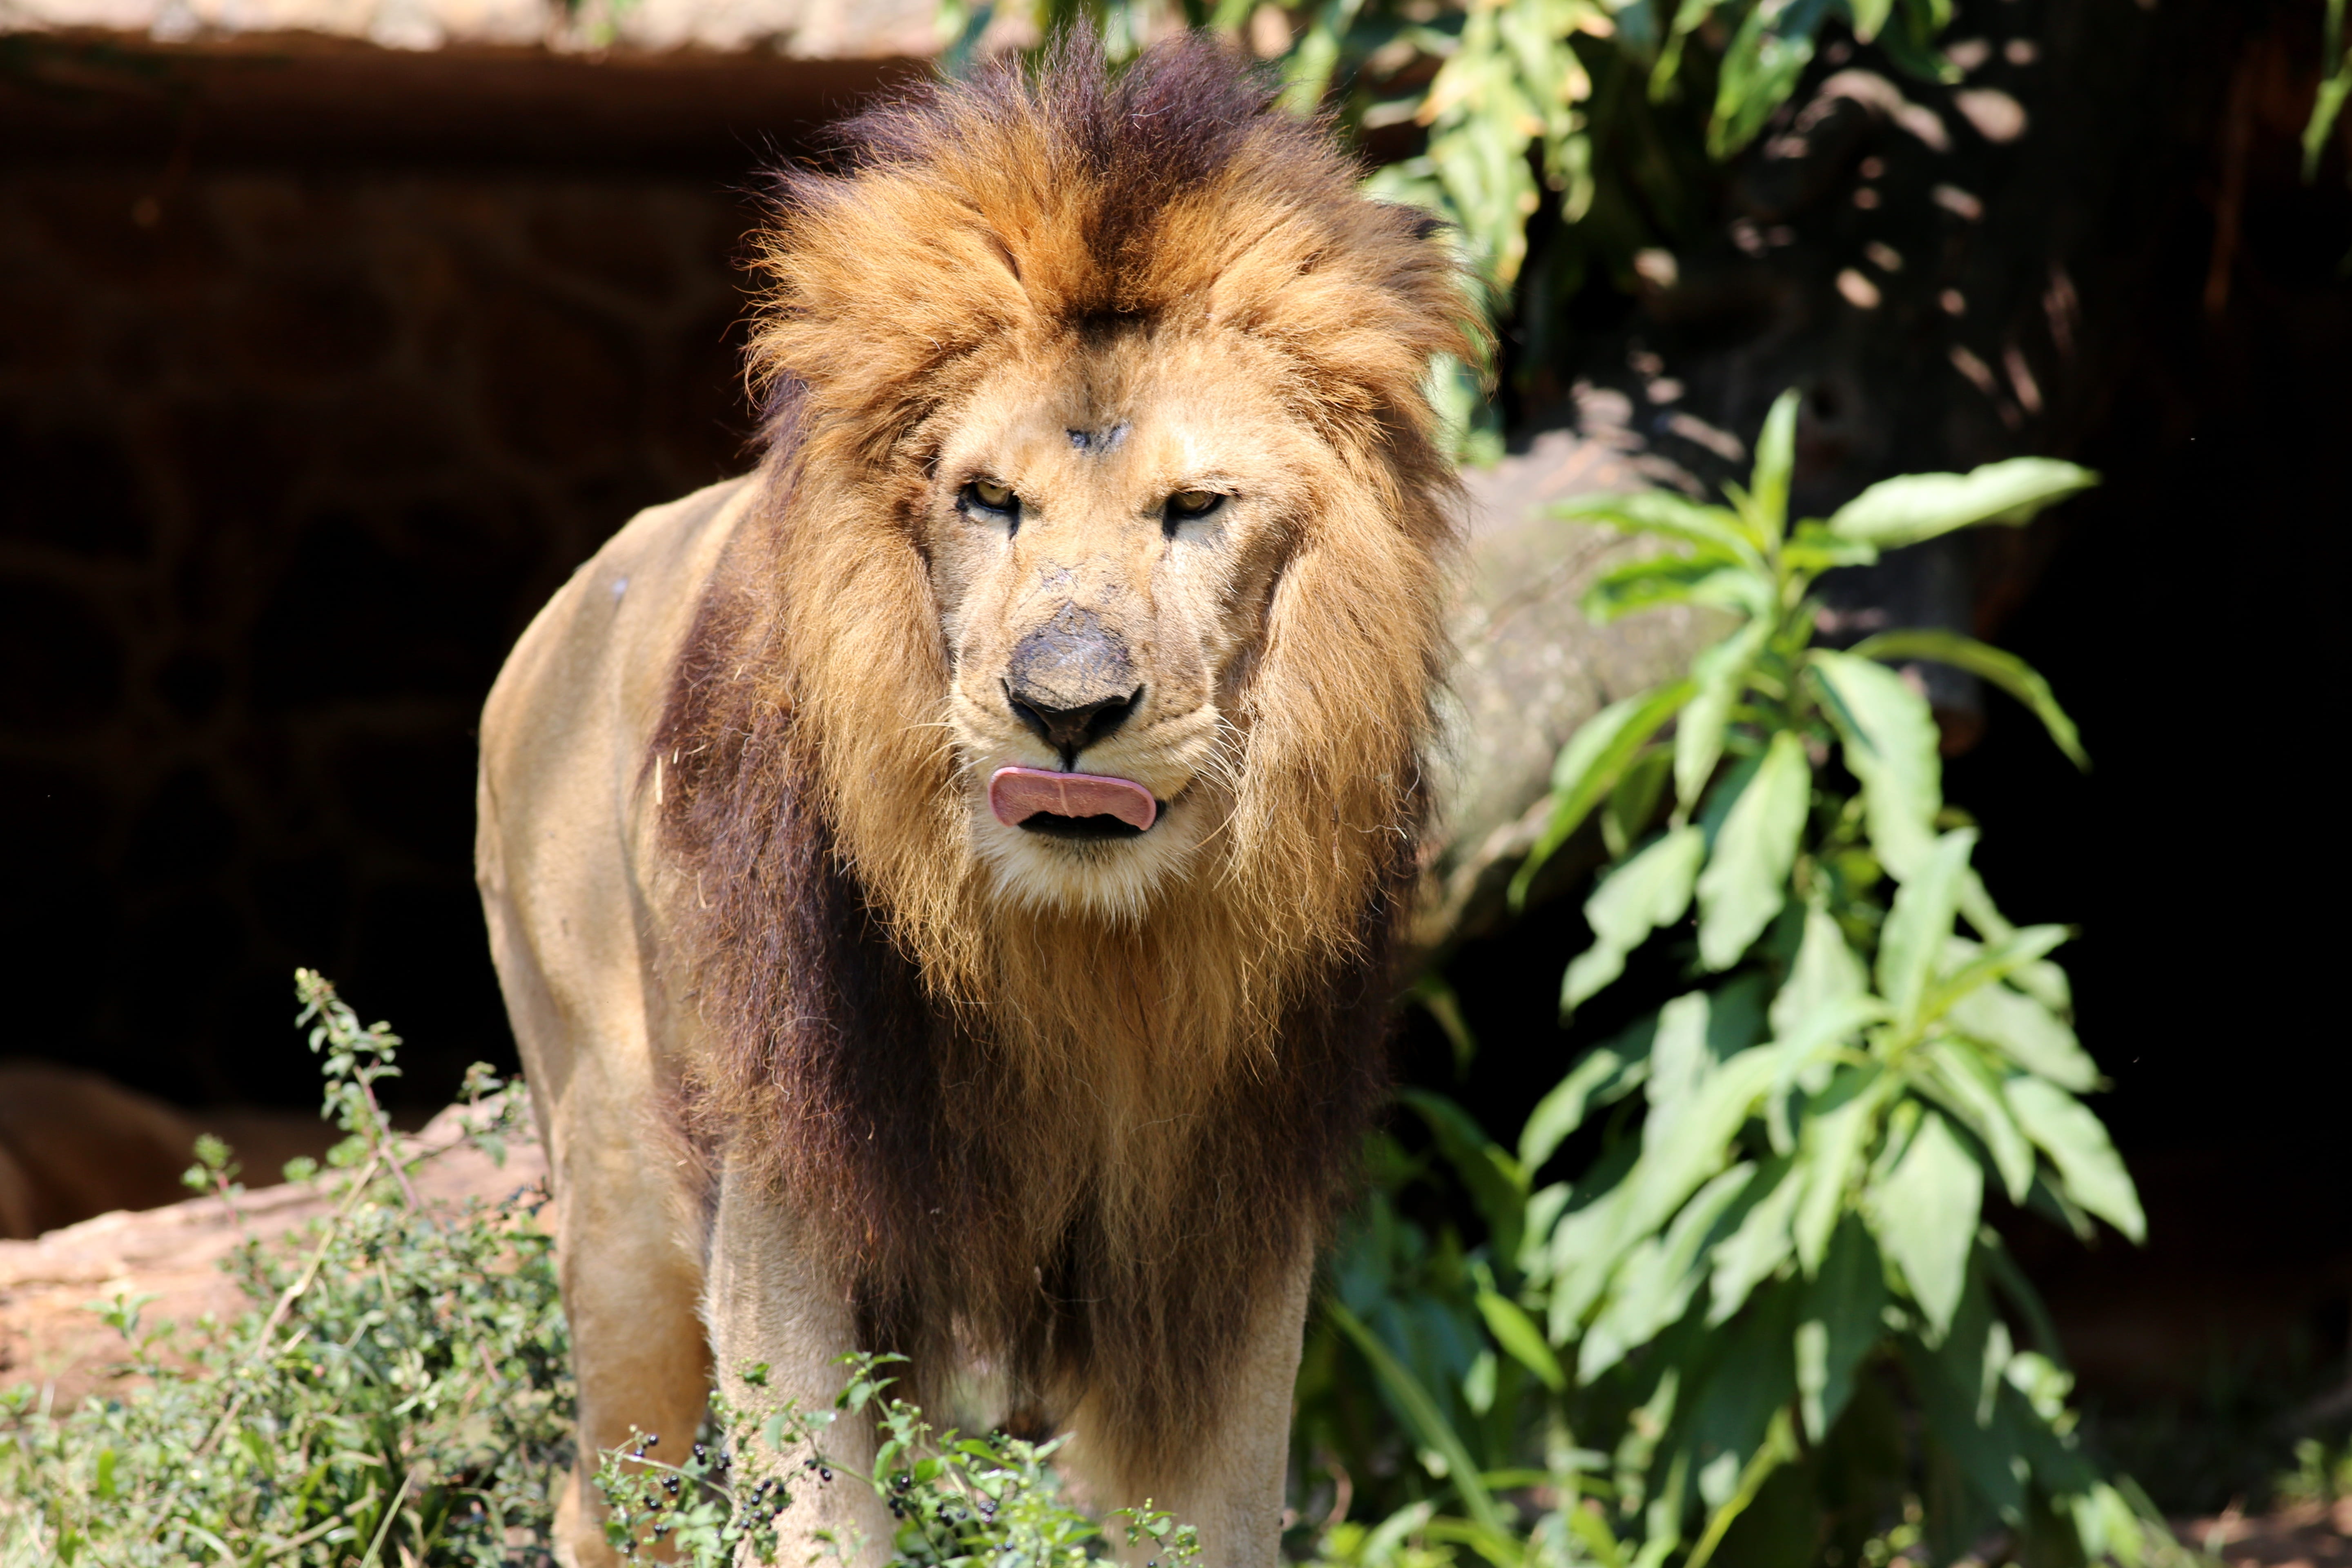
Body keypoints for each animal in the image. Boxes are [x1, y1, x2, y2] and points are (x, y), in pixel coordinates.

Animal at [475, 35, 1477, 1567]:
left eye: (1197, 508)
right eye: (987, 500)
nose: (1066, 710)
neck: (1085, 958)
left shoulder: (1228, 1240)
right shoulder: (789, 1200)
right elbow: (818, 1514)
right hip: (619, 1184)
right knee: (610, 1494)